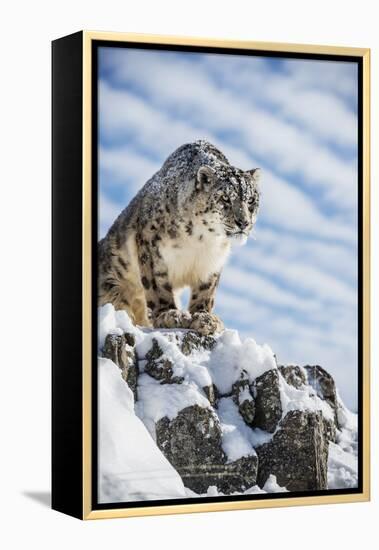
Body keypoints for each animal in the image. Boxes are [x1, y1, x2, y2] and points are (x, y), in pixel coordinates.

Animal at [98, 139, 262, 336]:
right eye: (225, 198)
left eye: (251, 200)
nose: (243, 222)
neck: (201, 241)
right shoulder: (151, 247)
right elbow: (157, 285)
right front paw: (169, 314)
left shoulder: (212, 262)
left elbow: (206, 291)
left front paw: (205, 318)